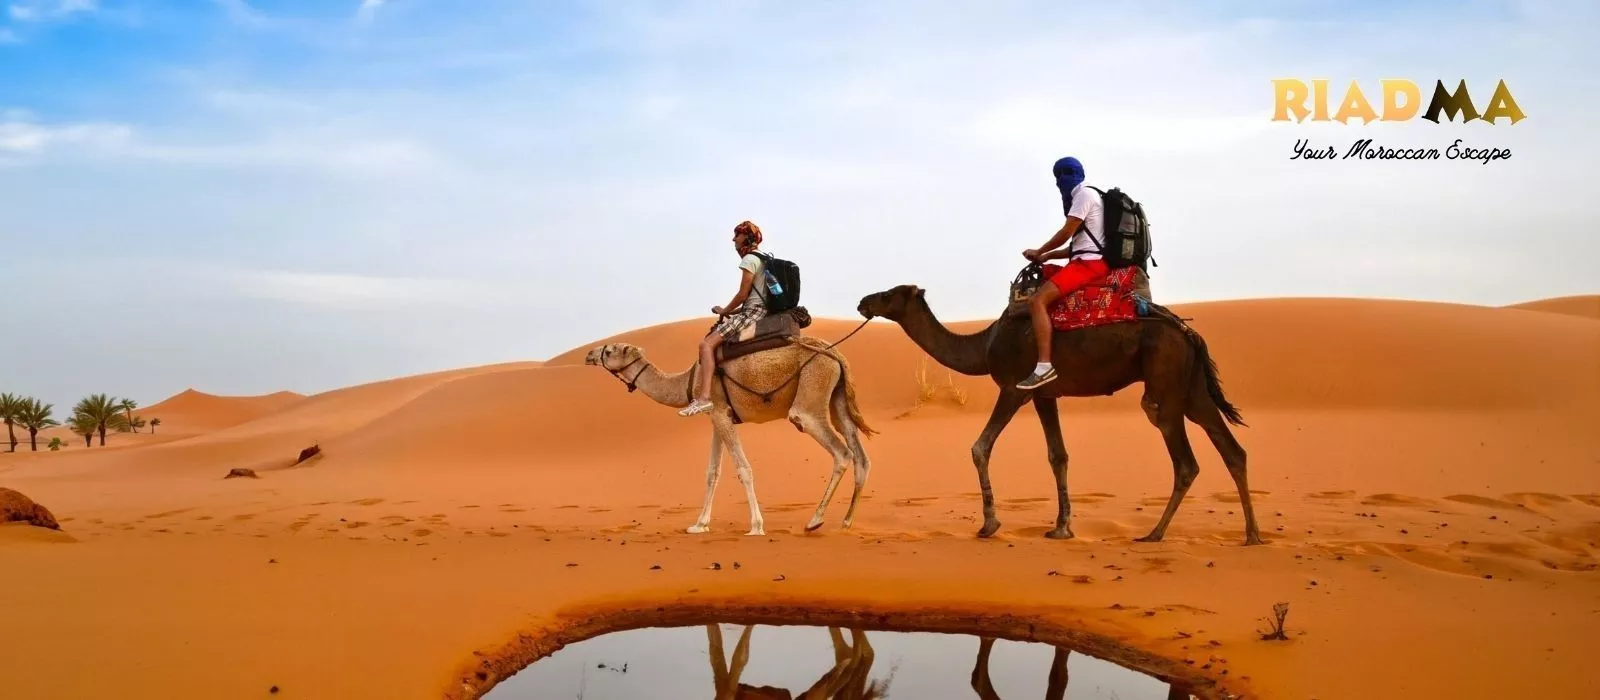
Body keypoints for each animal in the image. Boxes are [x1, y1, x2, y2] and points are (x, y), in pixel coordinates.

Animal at [584, 334, 874, 536]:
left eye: (609, 350)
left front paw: (756, 526)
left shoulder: (721, 413)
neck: (688, 381)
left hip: (810, 399)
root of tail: (836, 355)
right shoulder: (716, 416)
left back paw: (815, 520)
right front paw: (699, 525)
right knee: (860, 455)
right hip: (837, 399)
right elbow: (712, 472)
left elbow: (743, 469)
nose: (589, 354)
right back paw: (847, 521)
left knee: (841, 451)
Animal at [856, 283, 1262, 545]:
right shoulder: (1044, 393)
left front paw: (989, 524)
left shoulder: (1013, 388)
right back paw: (1252, 535)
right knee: (1232, 449)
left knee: (1185, 459)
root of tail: (1190, 334)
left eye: (889, 293)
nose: (863, 302)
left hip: (1166, 383)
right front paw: (1061, 527)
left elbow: (980, 447)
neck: (984, 345)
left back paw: (1155, 533)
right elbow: (1058, 455)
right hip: (1192, 389)